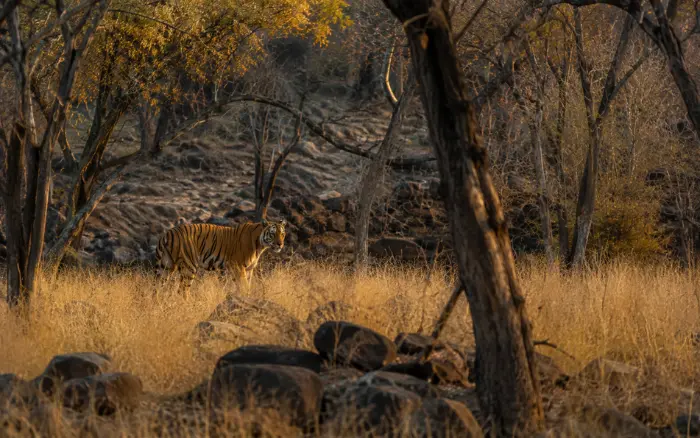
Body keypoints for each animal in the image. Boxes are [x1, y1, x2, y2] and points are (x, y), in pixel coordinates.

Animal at [154, 219, 287, 294]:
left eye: (282, 234)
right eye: (272, 233)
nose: (280, 244)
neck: (260, 246)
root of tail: (167, 233)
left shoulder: (249, 269)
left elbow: (244, 286)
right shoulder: (238, 266)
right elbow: (244, 287)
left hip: (166, 266)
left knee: (157, 289)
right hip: (189, 266)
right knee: (183, 290)